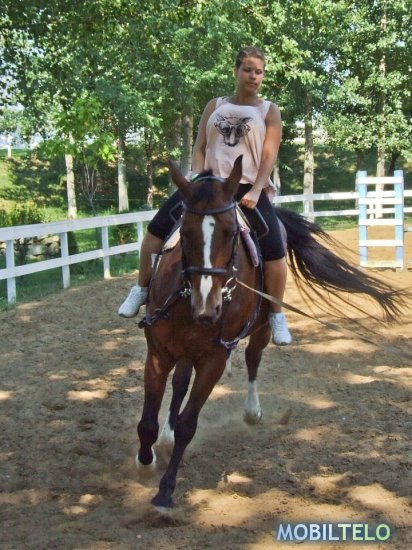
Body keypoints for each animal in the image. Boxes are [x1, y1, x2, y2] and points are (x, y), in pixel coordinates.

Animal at [135, 155, 405, 510]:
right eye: (186, 230)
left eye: (231, 233)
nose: (207, 308)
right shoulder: (158, 353)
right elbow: (148, 422)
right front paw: (146, 461)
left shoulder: (214, 359)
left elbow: (188, 425)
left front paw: (166, 491)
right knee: (180, 383)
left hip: (259, 327)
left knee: (253, 357)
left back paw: (252, 411)